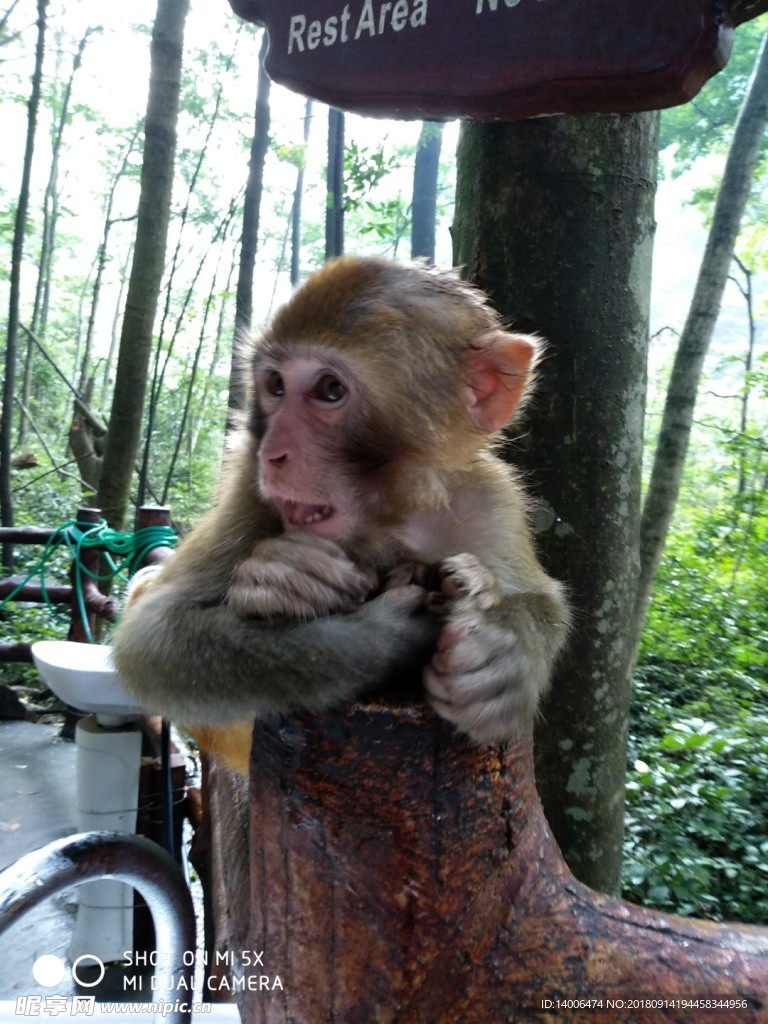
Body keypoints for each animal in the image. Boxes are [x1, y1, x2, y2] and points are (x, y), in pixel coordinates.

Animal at [114, 253, 573, 770]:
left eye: (330, 389)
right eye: (275, 385)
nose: (271, 454)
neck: (389, 515)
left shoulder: (491, 498)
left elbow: (542, 599)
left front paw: (505, 659)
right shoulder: (246, 490)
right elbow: (154, 636)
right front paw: (330, 604)